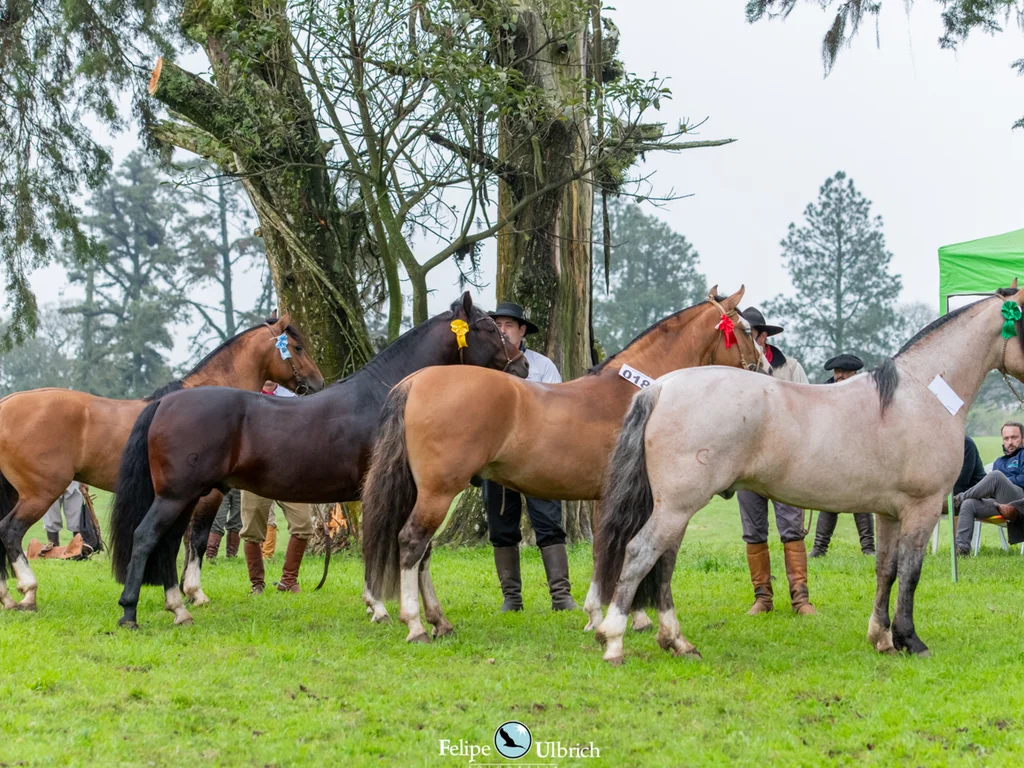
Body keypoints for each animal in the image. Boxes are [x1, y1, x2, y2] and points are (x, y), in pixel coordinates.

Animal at [0, 315, 324, 611]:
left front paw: (182, 591)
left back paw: (7, 597)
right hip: (42, 492)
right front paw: (195, 593)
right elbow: (197, 540)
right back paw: (27, 590)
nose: (318, 384)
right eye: (297, 347)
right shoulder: (207, 496)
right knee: (10, 531)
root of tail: (8, 403)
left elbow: (184, 540)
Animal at [108, 292, 529, 628]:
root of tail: (166, 401)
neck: (386, 395)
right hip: (177, 496)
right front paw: (379, 607)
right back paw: (130, 613)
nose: (522, 365)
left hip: (185, 497)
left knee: (168, 544)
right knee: (146, 538)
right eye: (488, 328)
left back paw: (179, 608)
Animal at [361, 285, 771, 644]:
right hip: (439, 492)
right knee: (411, 544)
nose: (766, 369)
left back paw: (440, 622)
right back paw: (415, 625)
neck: (635, 391)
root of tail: (416, 381)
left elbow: (604, 551)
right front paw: (624, 619)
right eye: (745, 329)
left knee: (423, 552)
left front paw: (600, 616)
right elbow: (619, 550)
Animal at [591, 285, 1024, 665]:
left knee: (663, 563)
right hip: (677, 507)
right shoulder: (924, 507)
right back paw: (614, 641)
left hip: (676, 509)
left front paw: (882, 638)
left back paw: (678, 643)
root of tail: (661, 387)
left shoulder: (889, 514)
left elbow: (886, 570)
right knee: (640, 552)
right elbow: (911, 573)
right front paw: (910, 640)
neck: (922, 395)